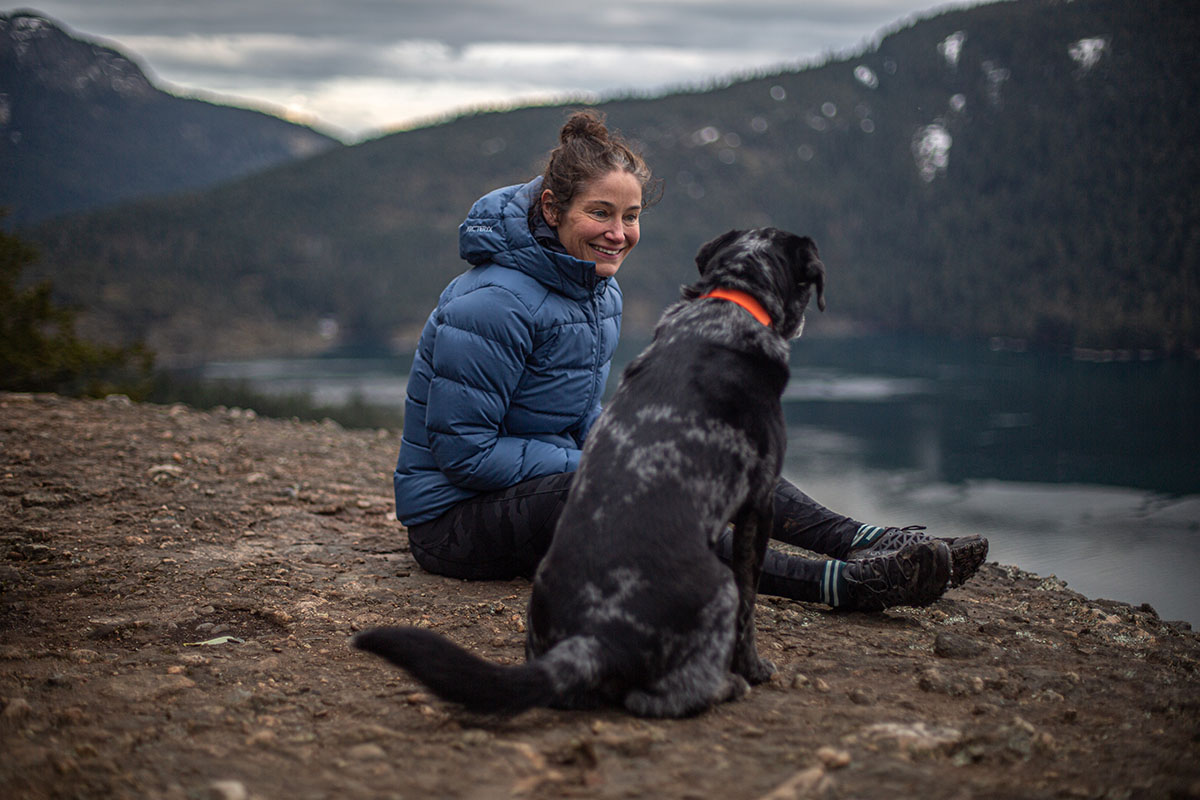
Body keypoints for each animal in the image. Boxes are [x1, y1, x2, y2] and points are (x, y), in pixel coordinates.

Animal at [355, 226, 825, 719]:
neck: (731, 303)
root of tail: (594, 640)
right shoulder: (759, 503)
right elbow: (749, 605)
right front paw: (754, 667)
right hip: (718, 589)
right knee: (661, 697)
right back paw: (729, 685)